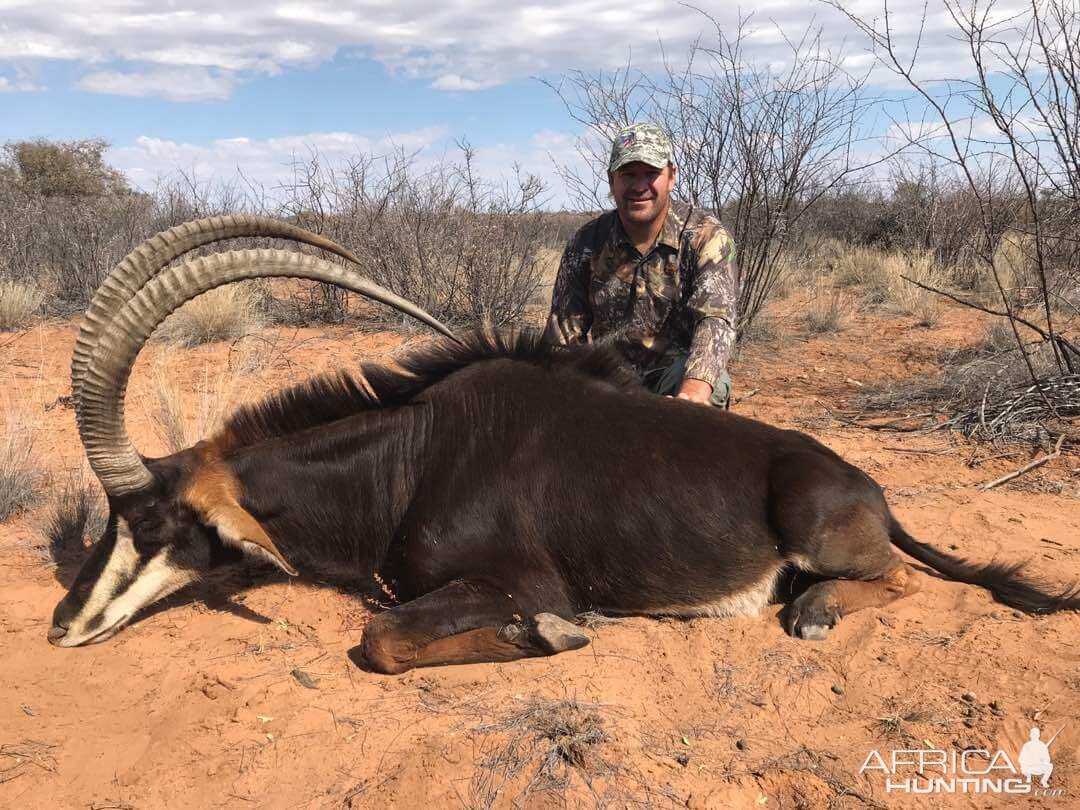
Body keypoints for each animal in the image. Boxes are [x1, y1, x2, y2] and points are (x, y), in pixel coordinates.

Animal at [50, 216, 1080, 673]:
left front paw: (547, 634)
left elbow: (385, 639)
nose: (63, 626)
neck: (408, 461)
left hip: (819, 528)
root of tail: (872, 490)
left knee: (892, 580)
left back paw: (818, 610)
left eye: (150, 521)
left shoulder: (524, 579)